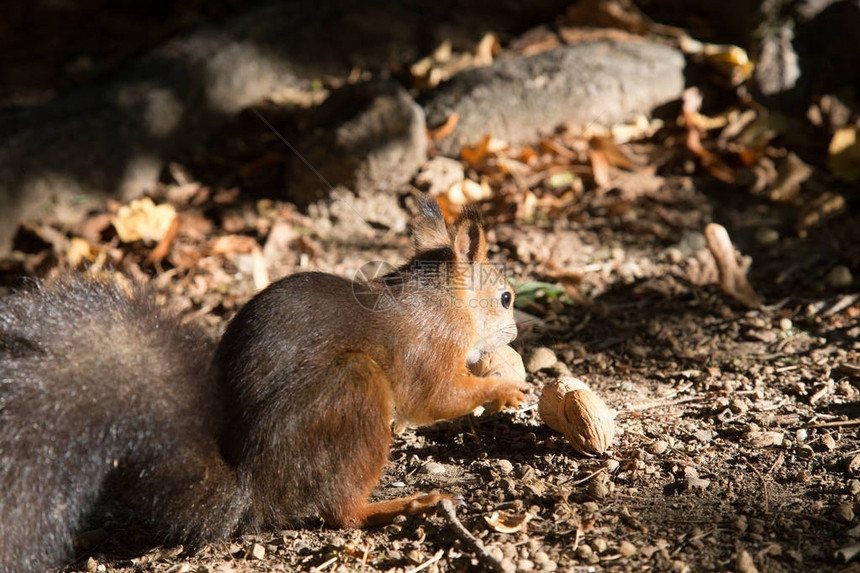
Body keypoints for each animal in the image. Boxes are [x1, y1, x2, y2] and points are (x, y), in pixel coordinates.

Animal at [0, 199, 524, 568]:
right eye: (506, 297)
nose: (516, 334)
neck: (445, 300)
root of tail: (254, 486)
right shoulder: (431, 347)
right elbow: (437, 398)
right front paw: (505, 388)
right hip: (354, 390)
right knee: (341, 513)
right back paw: (406, 503)